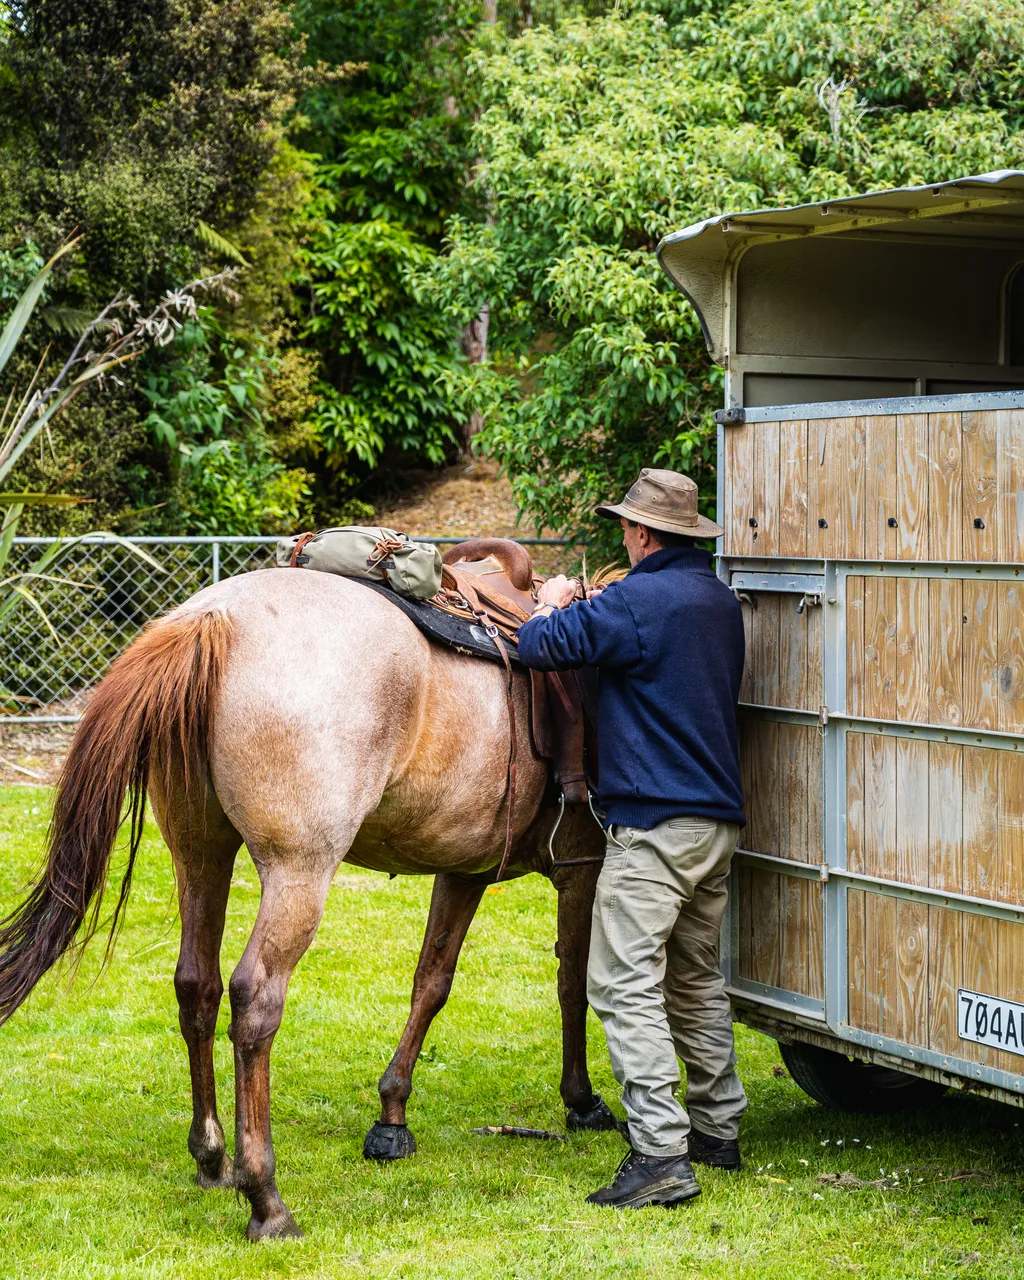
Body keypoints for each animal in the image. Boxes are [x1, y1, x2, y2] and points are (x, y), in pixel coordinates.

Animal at [0, 556, 617, 1240]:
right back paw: (265, 1198)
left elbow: (431, 983)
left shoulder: (464, 872)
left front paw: (391, 1117)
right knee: (254, 999)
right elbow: (573, 985)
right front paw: (582, 1100)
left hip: (200, 855)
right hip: (298, 873)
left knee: (197, 985)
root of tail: (213, 619)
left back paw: (213, 1159)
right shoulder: (583, 868)